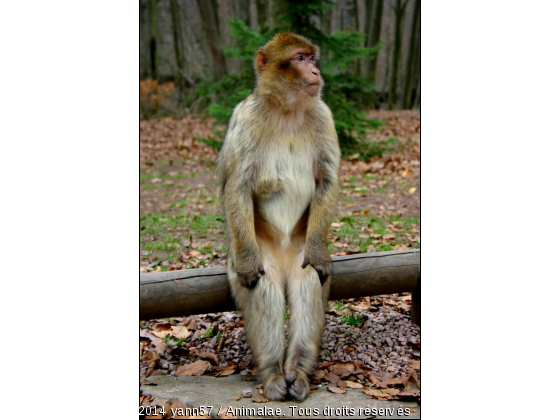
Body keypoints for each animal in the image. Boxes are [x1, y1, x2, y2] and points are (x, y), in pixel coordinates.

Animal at [217, 32, 342, 400]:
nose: (315, 70)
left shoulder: (324, 114)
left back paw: (297, 371)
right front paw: (247, 267)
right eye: (299, 58)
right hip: (261, 248)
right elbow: (238, 185)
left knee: (308, 280)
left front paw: (319, 255)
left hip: (301, 247)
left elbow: (327, 180)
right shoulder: (244, 119)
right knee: (265, 287)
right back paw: (273, 373)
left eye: (312, 57)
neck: (287, 109)